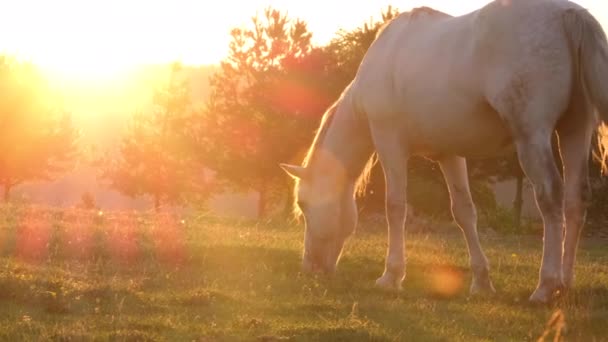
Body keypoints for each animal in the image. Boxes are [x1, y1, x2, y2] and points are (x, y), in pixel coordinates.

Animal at [280, 0, 608, 304]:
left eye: (304, 204)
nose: (310, 267)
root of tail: (568, 14)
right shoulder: (449, 154)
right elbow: (464, 212)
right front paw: (481, 282)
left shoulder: (390, 143)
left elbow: (395, 206)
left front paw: (391, 276)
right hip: (575, 131)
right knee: (575, 200)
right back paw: (564, 284)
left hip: (531, 137)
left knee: (550, 197)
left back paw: (545, 286)